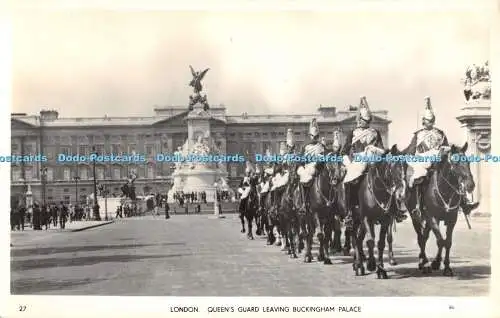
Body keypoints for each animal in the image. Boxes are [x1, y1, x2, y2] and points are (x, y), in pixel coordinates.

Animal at [350, 145, 408, 278]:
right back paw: (358, 264)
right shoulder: (367, 218)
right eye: (393, 167)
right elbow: (371, 241)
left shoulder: (386, 220)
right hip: (356, 220)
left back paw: (360, 263)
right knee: (355, 239)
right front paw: (371, 264)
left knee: (359, 239)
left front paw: (381, 269)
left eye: (406, 166)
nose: (401, 194)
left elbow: (381, 242)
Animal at [408, 143, 474, 276]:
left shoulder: (451, 219)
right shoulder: (432, 217)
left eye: (468, 162)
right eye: (456, 163)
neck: (444, 191)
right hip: (416, 218)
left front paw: (446, 267)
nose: (471, 185)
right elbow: (440, 241)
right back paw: (424, 263)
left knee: (425, 237)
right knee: (421, 239)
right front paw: (434, 263)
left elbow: (447, 242)